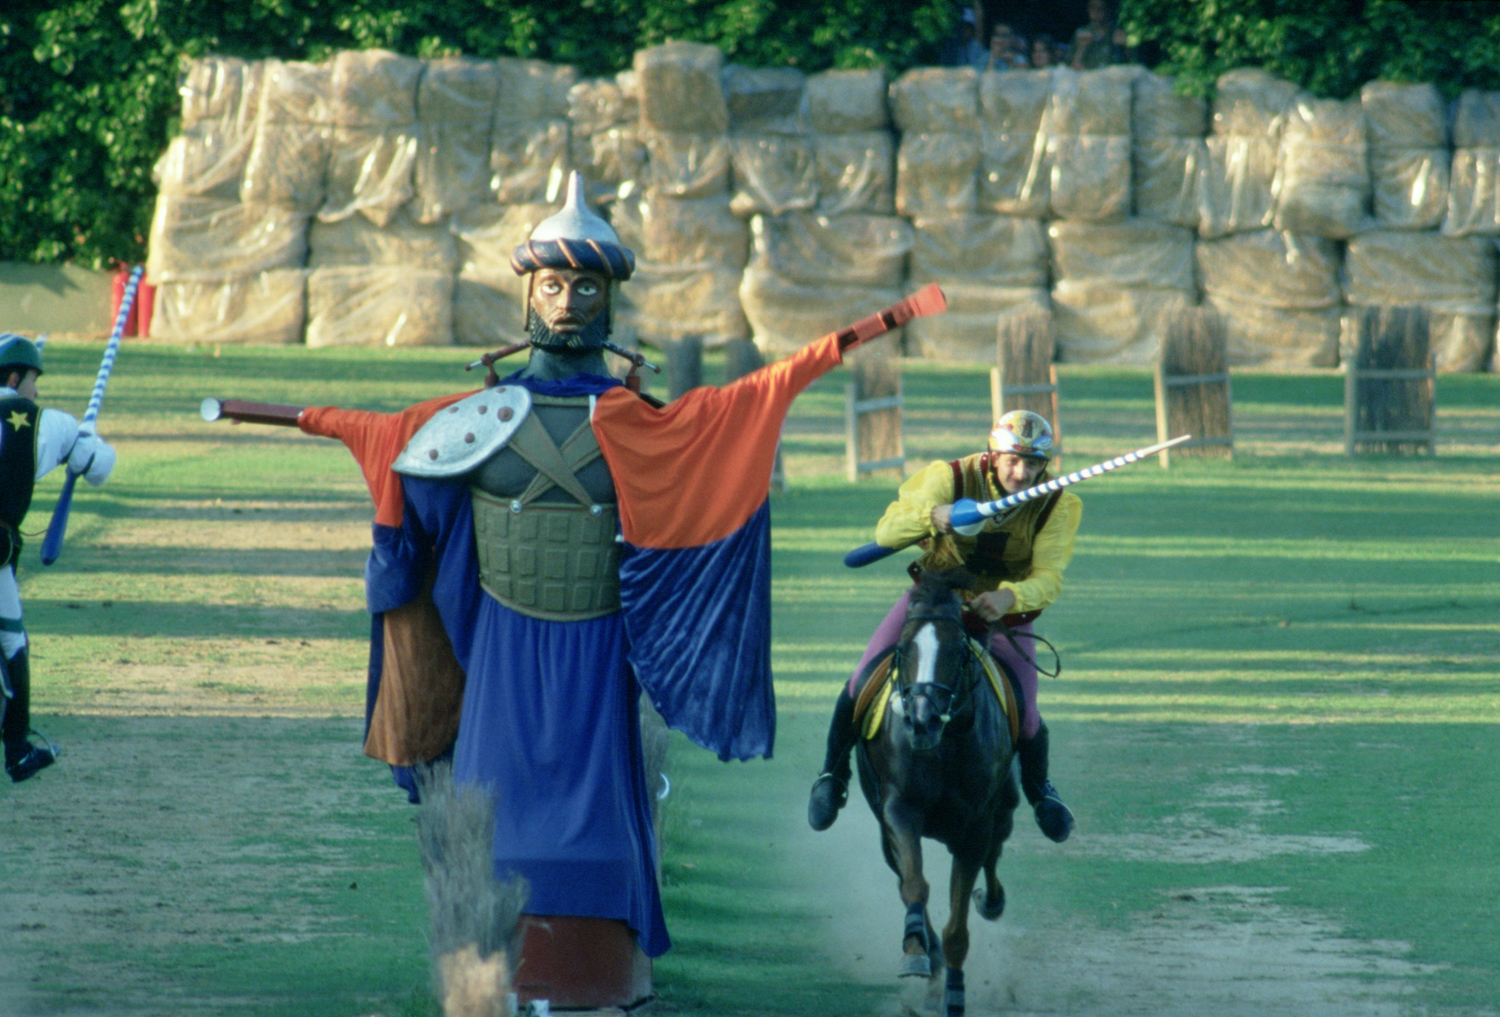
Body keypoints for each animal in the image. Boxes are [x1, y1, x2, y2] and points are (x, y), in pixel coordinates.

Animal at [853, 568, 1020, 1017]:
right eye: (903, 648)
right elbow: (915, 885)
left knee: (995, 855)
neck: (943, 747)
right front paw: (916, 952)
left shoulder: (975, 828)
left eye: (957, 650)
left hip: (1003, 811)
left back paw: (990, 903)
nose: (921, 720)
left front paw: (955, 992)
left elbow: (958, 926)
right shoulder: (898, 811)